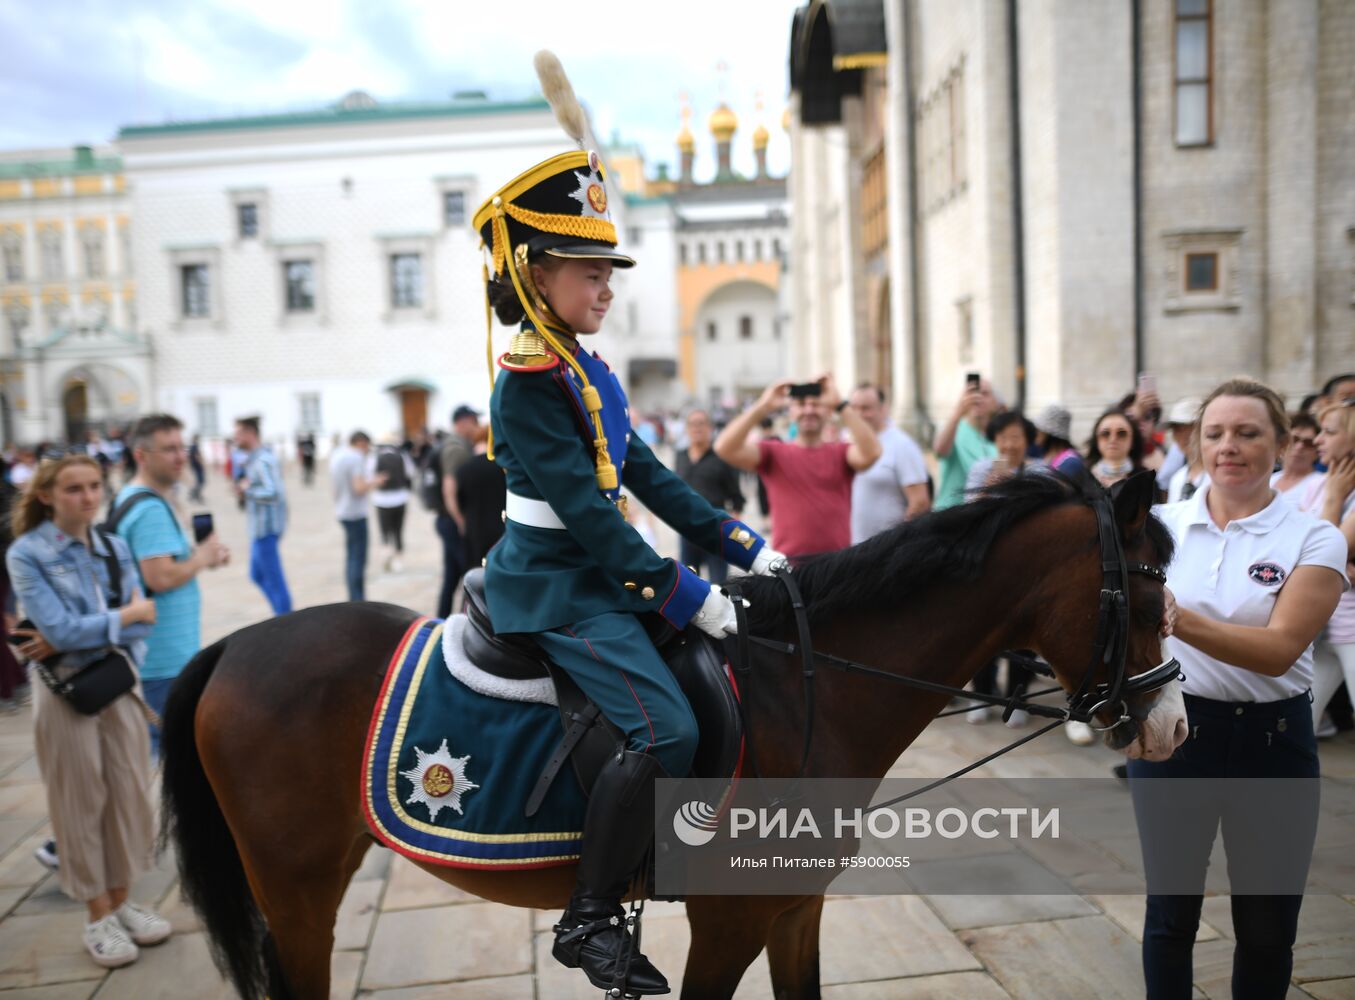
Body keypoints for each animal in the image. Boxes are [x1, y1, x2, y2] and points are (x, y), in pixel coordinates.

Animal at [161, 468, 1186, 997]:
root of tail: (234, 644)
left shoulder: (795, 910)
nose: (1173, 723)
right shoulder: (726, 921)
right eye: (1147, 596)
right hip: (296, 891)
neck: (806, 690)